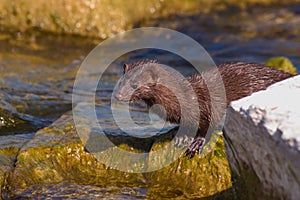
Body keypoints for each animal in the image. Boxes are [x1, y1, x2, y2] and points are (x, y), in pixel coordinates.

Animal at [114, 59, 292, 158]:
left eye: (135, 85)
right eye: (121, 81)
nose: (118, 95)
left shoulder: (208, 105)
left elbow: (209, 125)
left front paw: (196, 143)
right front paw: (181, 137)